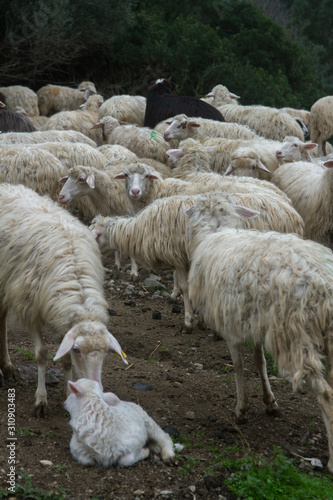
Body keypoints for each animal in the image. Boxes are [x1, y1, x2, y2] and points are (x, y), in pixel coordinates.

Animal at [0, 182, 126, 416]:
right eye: (78, 350)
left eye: (106, 352)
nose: (96, 386)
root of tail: (7, 186)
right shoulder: (30, 308)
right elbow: (41, 354)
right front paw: (41, 400)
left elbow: (65, 360)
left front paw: (70, 396)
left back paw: (7, 366)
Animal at [184, 195, 333, 472]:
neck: (217, 231)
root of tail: (323, 282)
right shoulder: (253, 322)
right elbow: (259, 361)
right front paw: (270, 402)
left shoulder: (230, 325)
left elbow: (238, 366)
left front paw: (240, 410)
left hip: (295, 336)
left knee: (326, 394)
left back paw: (330, 461)